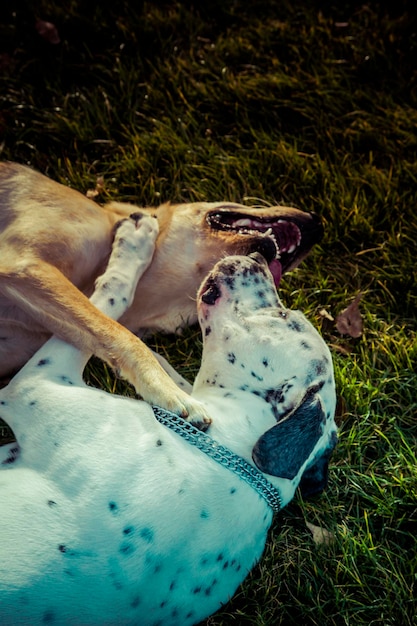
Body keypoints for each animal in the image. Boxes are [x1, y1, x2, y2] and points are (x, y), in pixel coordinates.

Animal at [0, 216, 336, 624]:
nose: (260, 253)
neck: (233, 446)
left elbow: (104, 310)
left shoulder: (33, 386)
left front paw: (133, 246)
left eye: (285, 316)